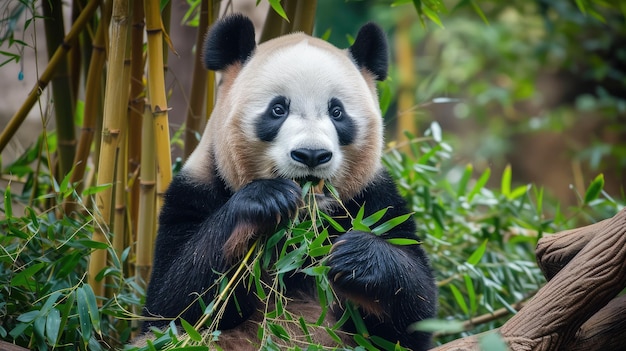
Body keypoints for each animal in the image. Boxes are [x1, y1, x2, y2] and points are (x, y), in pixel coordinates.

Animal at [141, 13, 434, 351]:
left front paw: (356, 255)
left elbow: (412, 316)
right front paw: (266, 199)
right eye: (278, 109)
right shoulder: (194, 189)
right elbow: (173, 304)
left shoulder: (375, 200)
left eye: (337, 112)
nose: (312, 154)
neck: (304, 226)